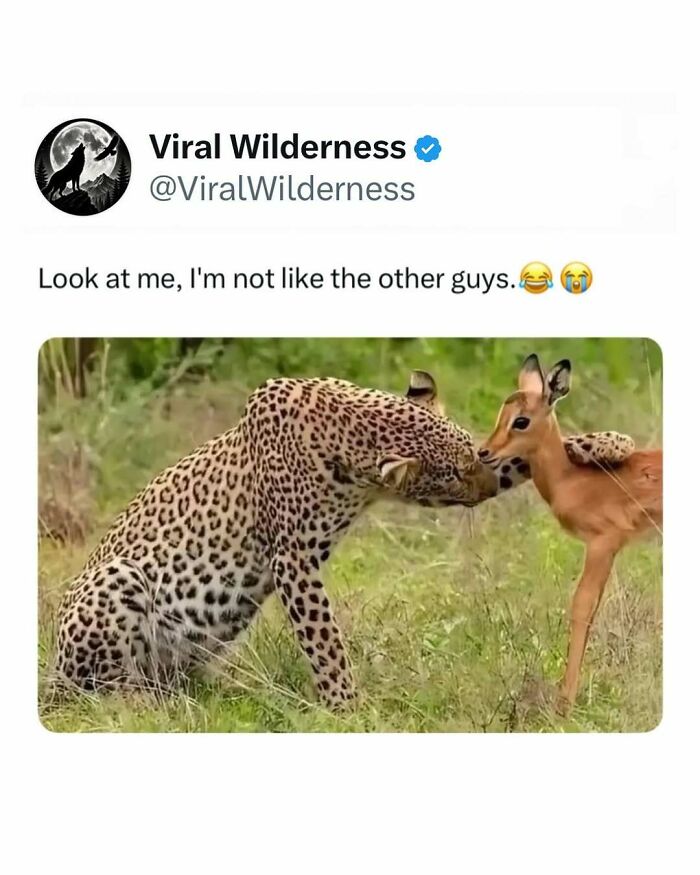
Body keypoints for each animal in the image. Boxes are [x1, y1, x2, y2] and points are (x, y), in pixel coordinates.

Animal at [53, 370, 634, 708]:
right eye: (449, 475)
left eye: (473, 454)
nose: (487, 484)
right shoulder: (293, 560)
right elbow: (325, 641)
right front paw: (349, 709)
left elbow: (527, 455)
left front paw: (609, 442)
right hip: (116, 581)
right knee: (104, 691)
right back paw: (142, 703)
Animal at [479, 354, 662, 713]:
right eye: (502, 412)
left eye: (521, 420)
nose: (484, 452)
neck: (572, 480)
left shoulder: (603, 543)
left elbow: (582, 609)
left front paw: (564, 703)